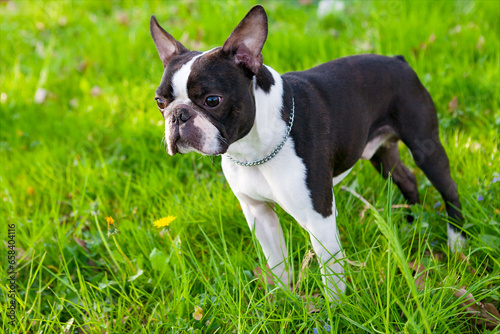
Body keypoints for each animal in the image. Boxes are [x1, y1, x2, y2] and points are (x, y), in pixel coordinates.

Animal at [148, 4, 464, 298]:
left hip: (424, 145)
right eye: (160, 102)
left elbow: (332, 275)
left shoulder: (319, 217)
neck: (254, 151)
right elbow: (277, 263)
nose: (178, 115)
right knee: (406, 178)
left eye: (212, 100)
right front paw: (283, 300)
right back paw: (412, 223)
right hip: (381, 154)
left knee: (448, 188)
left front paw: (336, 310)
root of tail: (399, 61)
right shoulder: (258, 213)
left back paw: (456, 241)